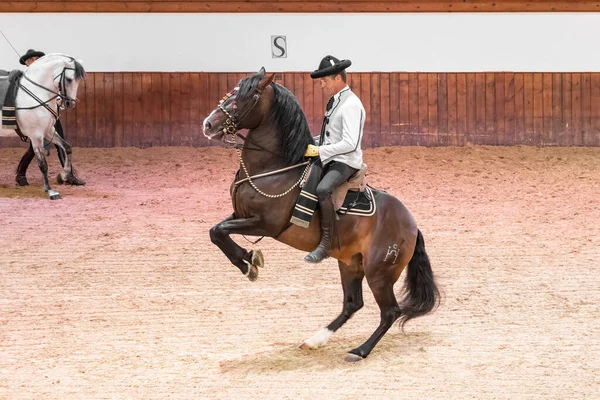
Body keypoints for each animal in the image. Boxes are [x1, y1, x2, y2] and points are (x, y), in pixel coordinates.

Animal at [0, 54, 85, 199]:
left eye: (78, 80)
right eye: (69, 79)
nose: (70, 103)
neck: (34, 92)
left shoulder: (49, 131)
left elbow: (67, 148)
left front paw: (65, 175)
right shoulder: (36, 136)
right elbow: (42, 164)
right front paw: (50, 190)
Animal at [203, 67, 440, 360]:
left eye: (245, 97)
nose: (208, 125)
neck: (273, 168)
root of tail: (412, 225)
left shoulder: (266, 225)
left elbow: (220, 231)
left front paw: (249, 263)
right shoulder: (238, 214)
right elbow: (216, 231)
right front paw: (248, 259)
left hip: (379, 273)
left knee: (389, 312)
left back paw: (359, 351)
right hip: (350, 264)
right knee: (352, 304)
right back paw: (314, 340)